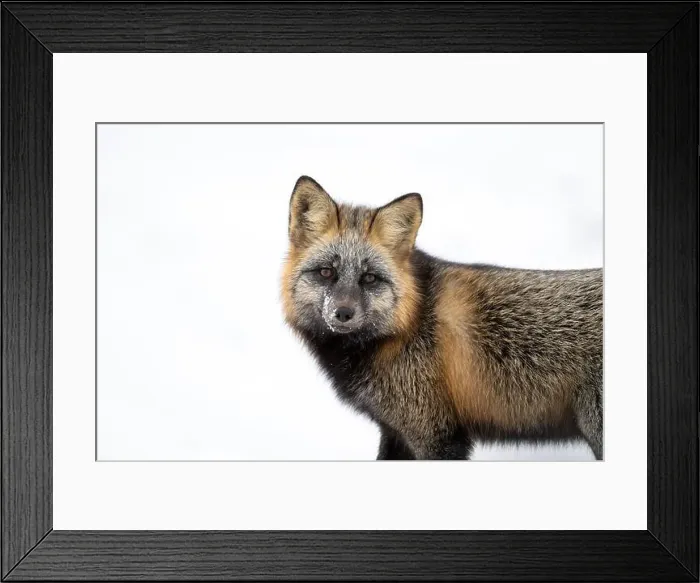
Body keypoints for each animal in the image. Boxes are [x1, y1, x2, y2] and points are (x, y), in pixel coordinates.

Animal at [281, 176, 603, 460]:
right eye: (326, 273)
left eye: (369, 278)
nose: (343, 313)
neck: (408, 323)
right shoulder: (396, 431)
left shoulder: (436, 433)